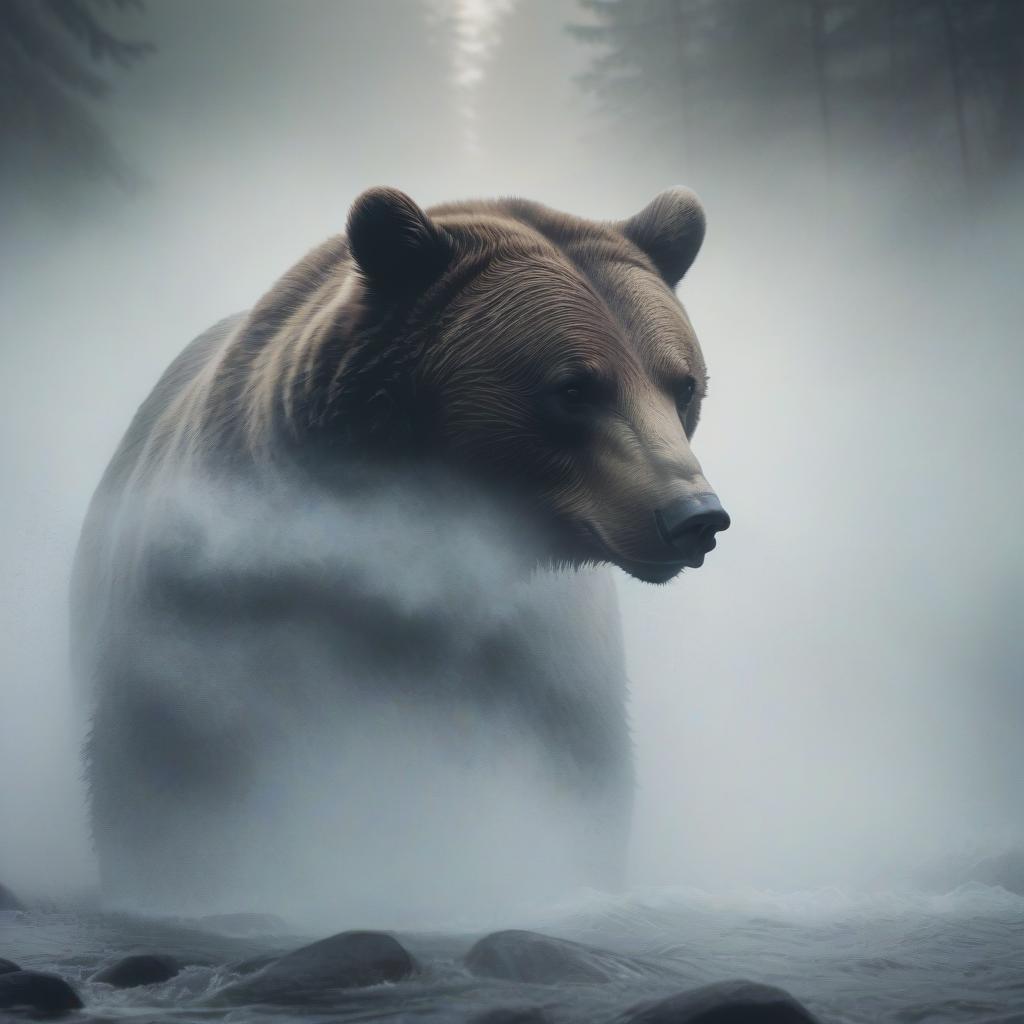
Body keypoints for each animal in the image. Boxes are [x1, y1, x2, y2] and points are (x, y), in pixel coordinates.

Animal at [72, 188, 729, 917]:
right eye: (574, 388)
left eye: (683, 384)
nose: (693, 516)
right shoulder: (218, 607)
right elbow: (168, 766)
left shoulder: (543, 652)